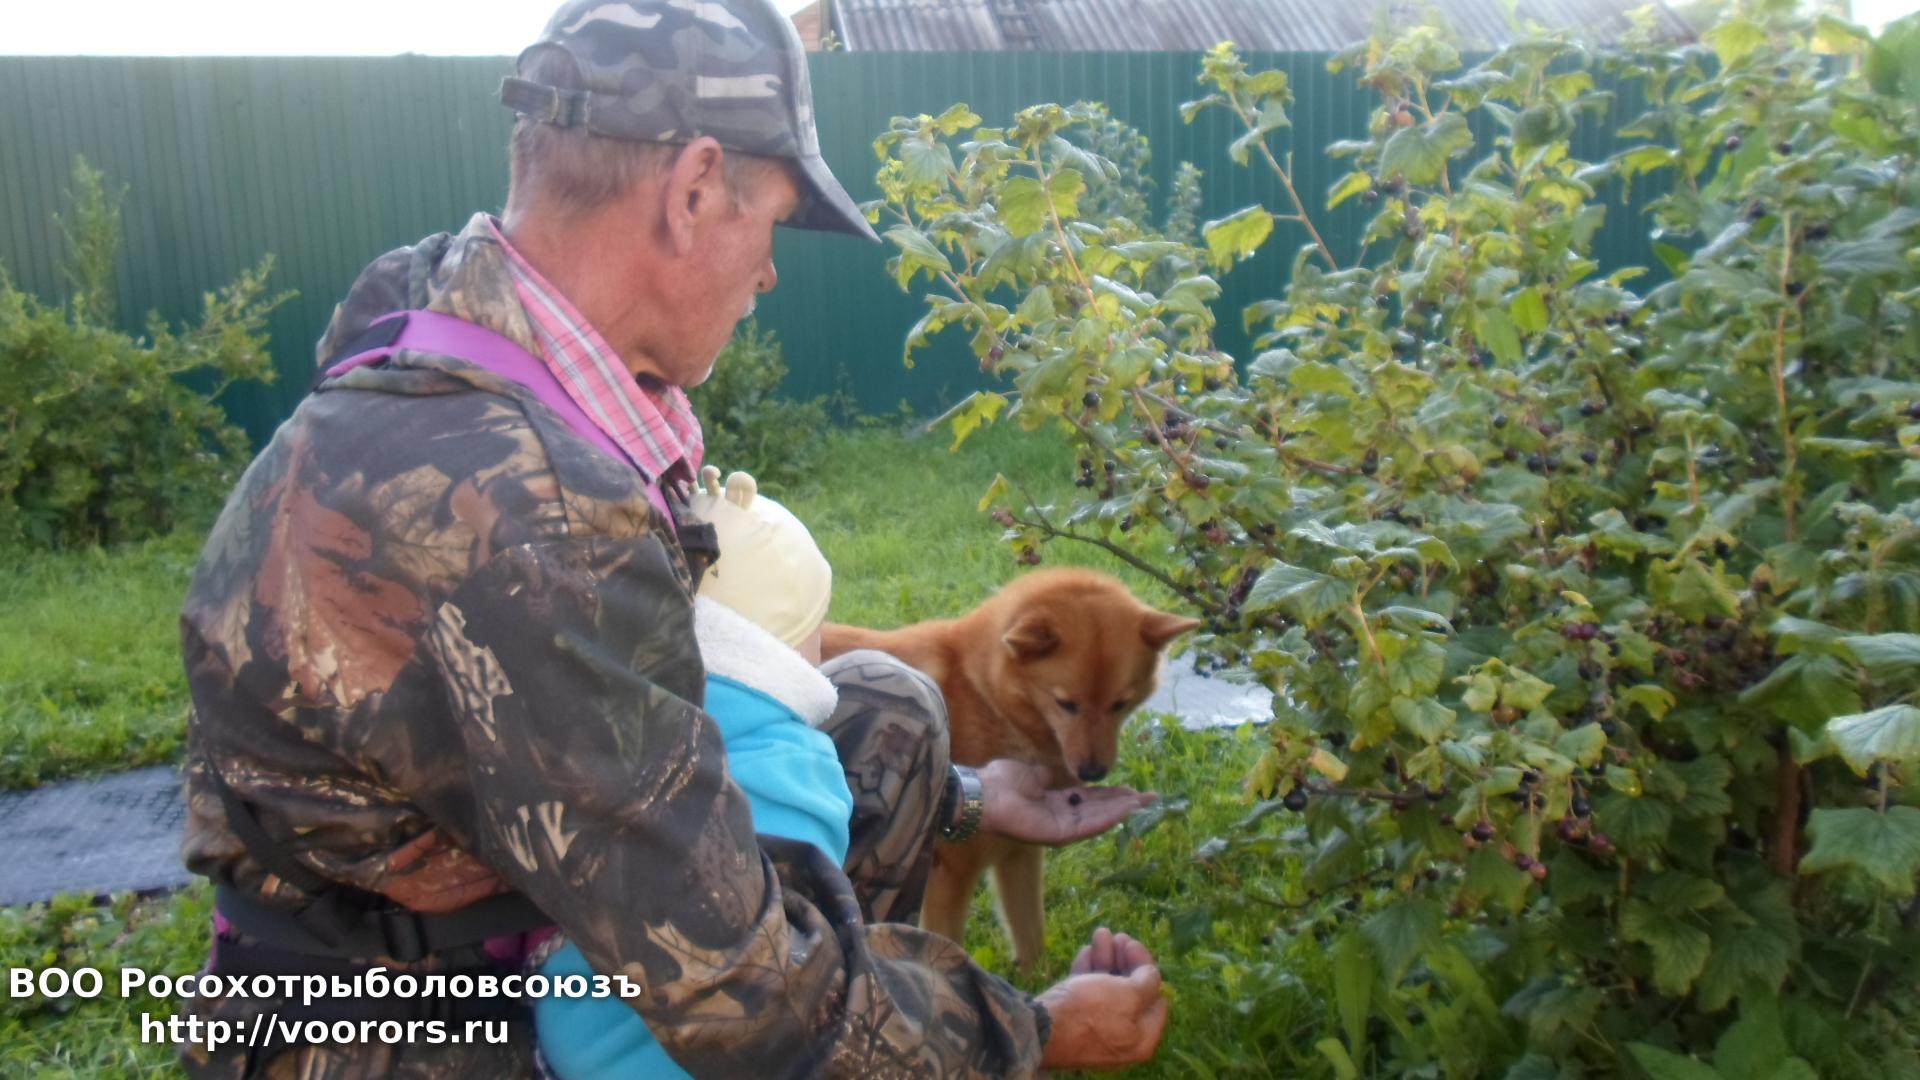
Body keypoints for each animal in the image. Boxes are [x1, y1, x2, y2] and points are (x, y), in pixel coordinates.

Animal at [821, 567, 1198, 971]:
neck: (986, 696)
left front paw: (1044, 979)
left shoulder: (1020, 853)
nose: (1093, 772)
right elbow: (946, 942)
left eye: (1120, 704)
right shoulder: (949, 875)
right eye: (1066, 704)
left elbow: (1030, 933)